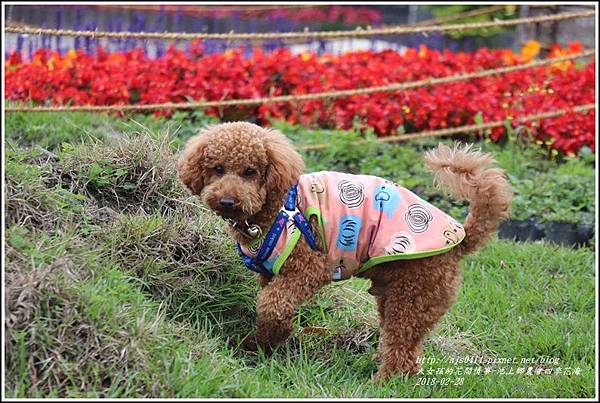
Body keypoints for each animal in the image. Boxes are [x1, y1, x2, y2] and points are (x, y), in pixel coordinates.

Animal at [176, 121, 512, 380]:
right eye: (218, 169)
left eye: (250, 172)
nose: (227, 201)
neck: (273, 208)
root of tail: (459, 239)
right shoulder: (270, 273)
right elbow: (273, 306)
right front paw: (264, 342)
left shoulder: (309, 267)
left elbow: (271, 304)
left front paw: (267, 341)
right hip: (397, 294)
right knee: (405, 345)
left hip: (416, 295)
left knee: (402, 348)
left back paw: (384, 382)